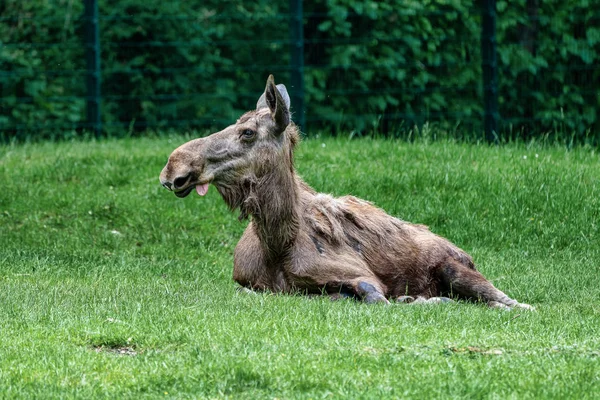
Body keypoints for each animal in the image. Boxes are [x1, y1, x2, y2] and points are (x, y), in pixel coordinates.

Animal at [161, 76, 536, 310]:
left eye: (248, 132)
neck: (277, 242)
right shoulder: (245, 284)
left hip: (456, 268)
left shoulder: (363, 277)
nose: (173, 168)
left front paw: (418, 300)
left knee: (514, 303)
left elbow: (374, 298)